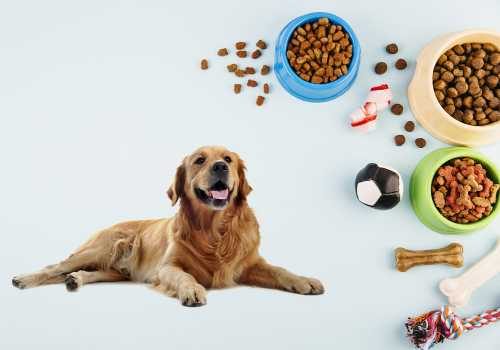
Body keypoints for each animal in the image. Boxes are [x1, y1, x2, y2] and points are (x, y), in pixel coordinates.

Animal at [12, 146, 324, 304]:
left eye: (228, 159)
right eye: (200, 160)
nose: (220, 167)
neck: (214, 231)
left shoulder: (250, 263)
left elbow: (280, 269)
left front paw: (304, 280)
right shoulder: (166, 267)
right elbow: (184, 276)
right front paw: (192, 290)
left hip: (114, 270)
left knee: (86, 272)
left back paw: (75, 279)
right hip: (101, 248)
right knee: (54, 266)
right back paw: (23, 279)